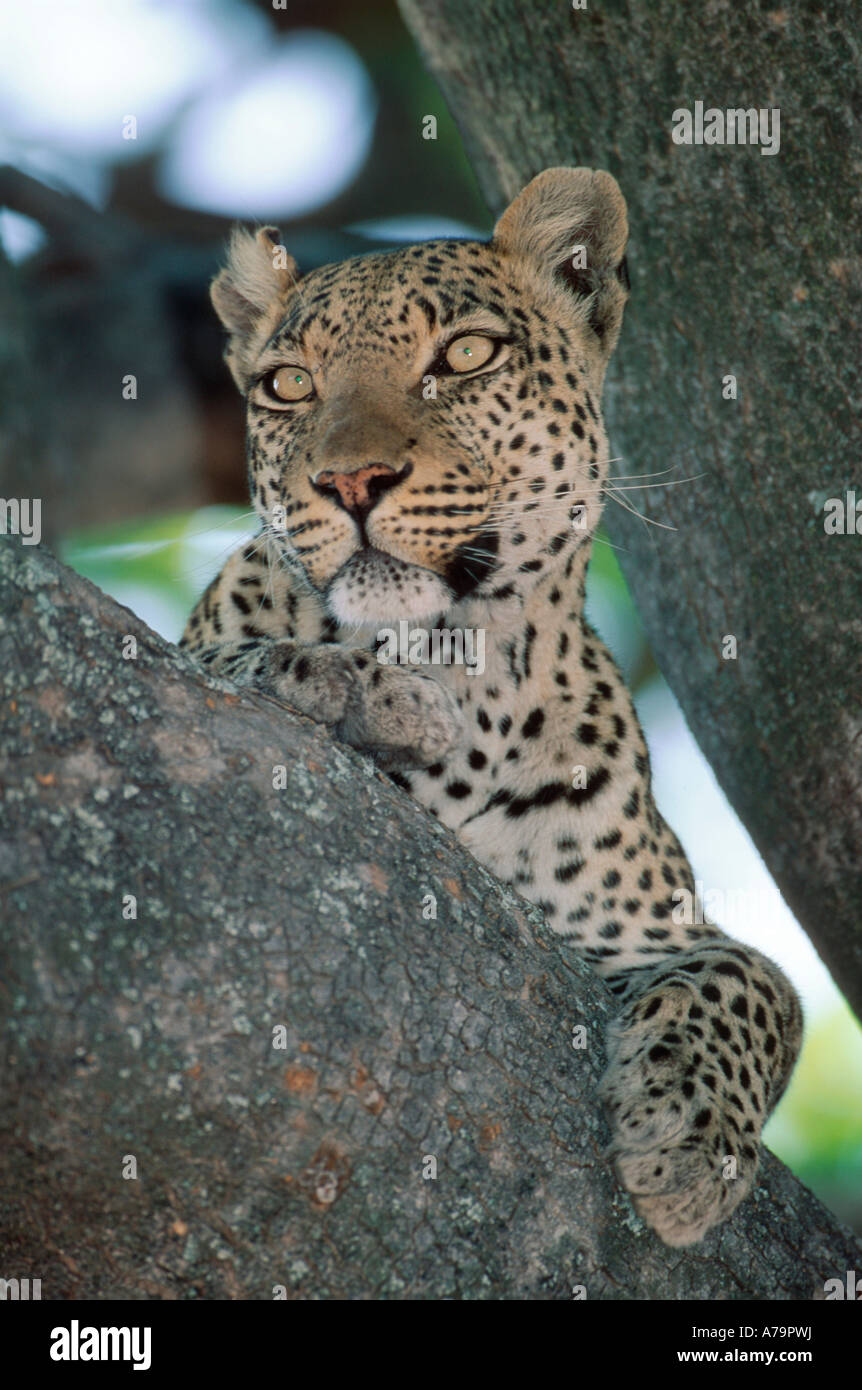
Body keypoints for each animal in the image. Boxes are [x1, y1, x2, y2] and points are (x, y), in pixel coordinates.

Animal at [180, 166, 802, 1248]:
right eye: (289, 384)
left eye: (465, 356)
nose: (349, 479)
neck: (459, 660)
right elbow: (233, 655)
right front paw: (358, 690)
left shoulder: (657, 935)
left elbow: (750, 982)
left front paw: (688, 1140)